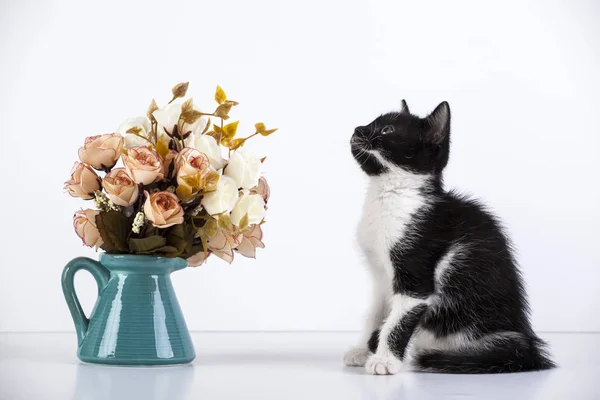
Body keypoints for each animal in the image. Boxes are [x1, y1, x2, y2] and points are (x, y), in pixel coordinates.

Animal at [344, 101, 556, 376]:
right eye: (372, 122)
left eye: (386, 130)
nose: (358, 129)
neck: (389, 194)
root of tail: (527, 341)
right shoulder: (381, 277)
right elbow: (376, 313)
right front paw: (364, 349)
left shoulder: (416, 271)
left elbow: (397, 320)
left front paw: (385, 360)